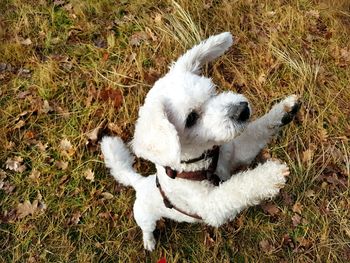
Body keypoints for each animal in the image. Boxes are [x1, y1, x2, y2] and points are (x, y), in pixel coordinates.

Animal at [100, 32, 300, 252]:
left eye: (212, 91)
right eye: (191, 118)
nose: (243, 110)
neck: (204, 161)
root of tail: (140, 183)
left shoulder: (237, 153)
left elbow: (258, 130)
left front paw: (284, 110)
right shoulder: (211, 206)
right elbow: (238, 188)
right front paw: (270, 175)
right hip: (144, 216)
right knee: (146, 228)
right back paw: (149, 242)